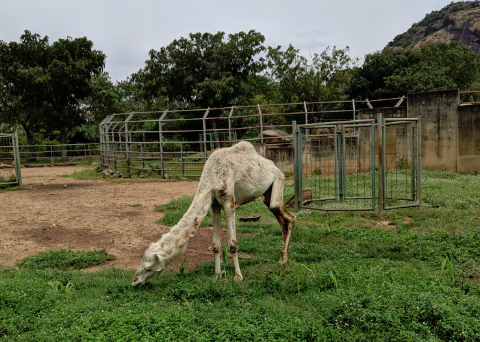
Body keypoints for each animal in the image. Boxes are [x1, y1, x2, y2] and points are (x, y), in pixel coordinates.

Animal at [132, 141, 296, 286]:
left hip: (278, 180)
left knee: (290, 217)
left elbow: (232, 244)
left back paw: (283, 259)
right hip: (267, 195)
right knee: (281, 218)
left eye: (148, 267)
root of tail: (275, 166)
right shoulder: (214, 204)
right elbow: (216, 244)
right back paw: (283, 258)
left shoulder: (229, 202)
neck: (211, 177)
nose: (135, 281)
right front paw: (217, 274)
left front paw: (238, 276)